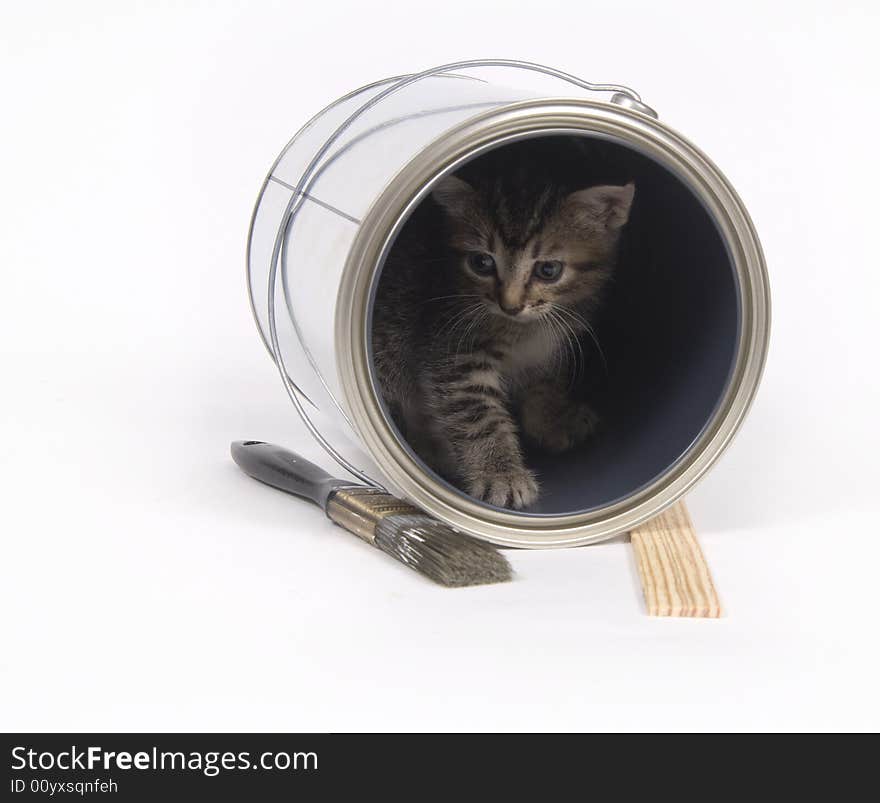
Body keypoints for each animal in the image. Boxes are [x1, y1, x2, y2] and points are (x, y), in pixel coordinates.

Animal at [370, 166, 632, 512]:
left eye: (549, 269)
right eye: (481, 263)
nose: (510, 305)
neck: (527, 330)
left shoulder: (555, 346)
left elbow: (546, 384)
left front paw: (552, 421)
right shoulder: (454, 350)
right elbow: (479, 414)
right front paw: (500, 475)